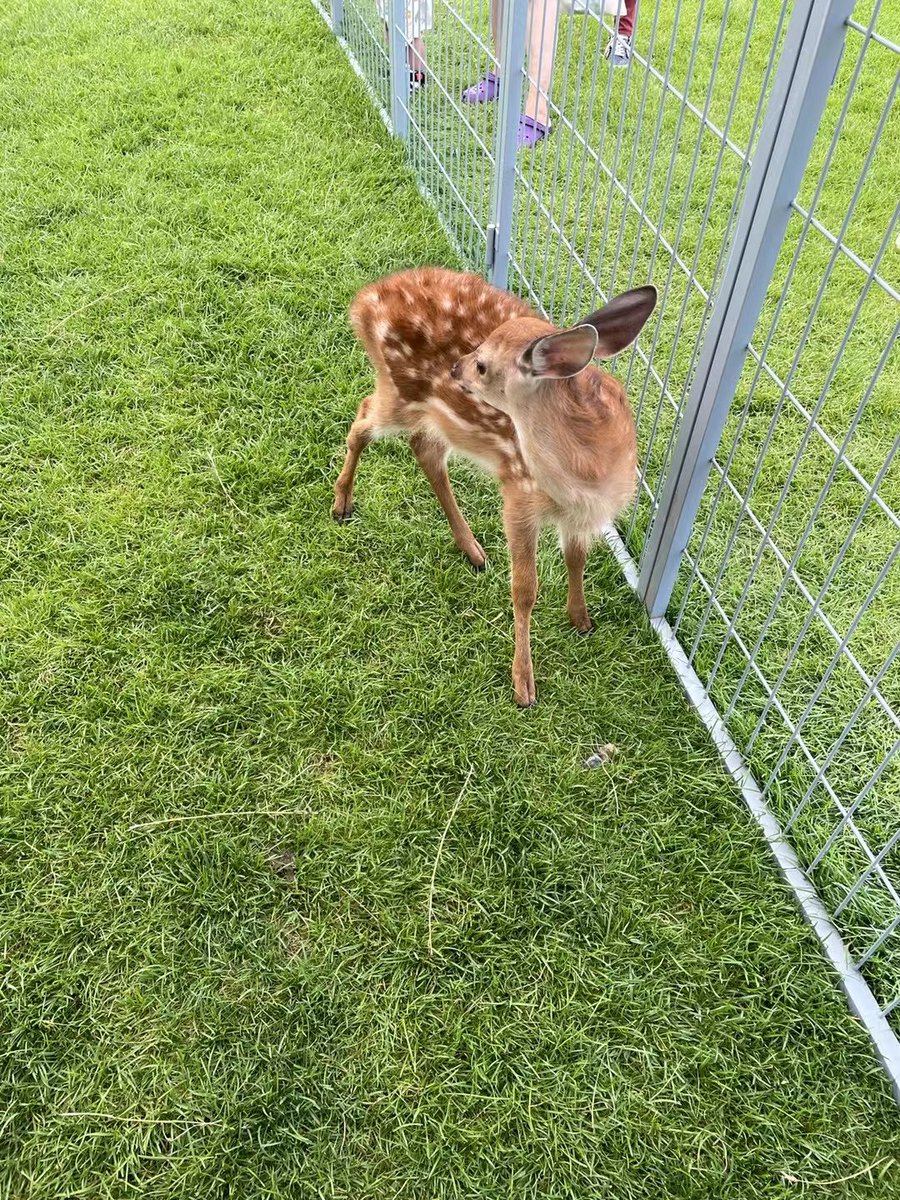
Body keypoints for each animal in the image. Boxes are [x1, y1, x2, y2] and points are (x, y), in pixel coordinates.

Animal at [333, 267, 657, 707]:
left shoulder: (583, 515)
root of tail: (365, 301)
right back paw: (342, 503)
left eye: (483, 365)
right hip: (400, 391)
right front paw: (524, 684)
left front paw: (581, 618)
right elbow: (525, 587)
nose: (455, 369)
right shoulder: (518, 489)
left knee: (423, 448)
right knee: (363, 418)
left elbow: (576, 559)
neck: (588, 475)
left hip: (432, 412)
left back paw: (471, 548)